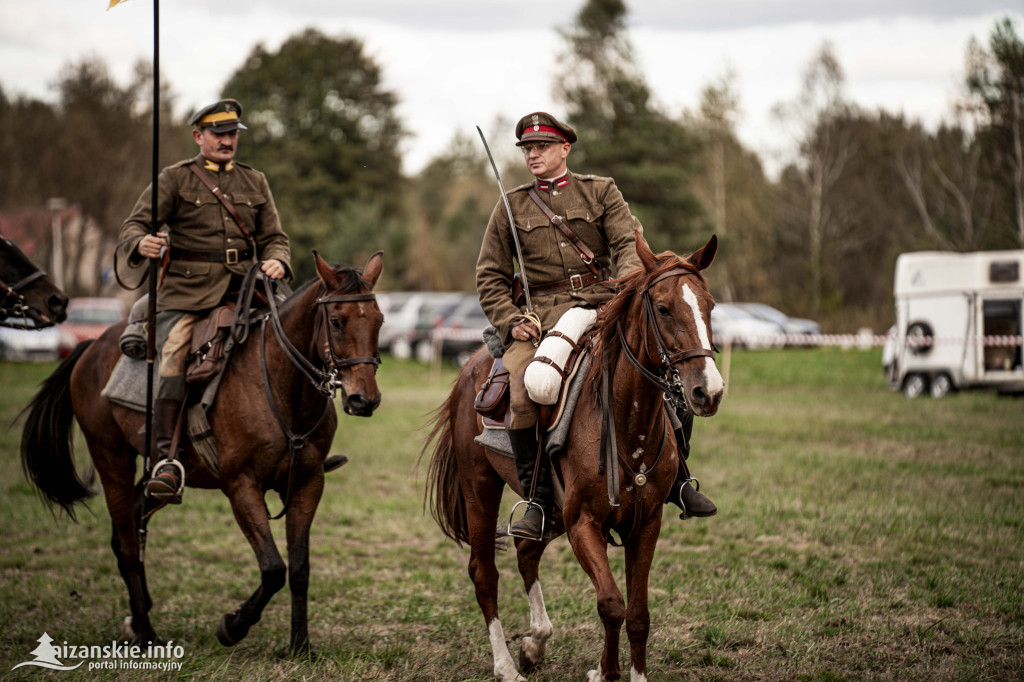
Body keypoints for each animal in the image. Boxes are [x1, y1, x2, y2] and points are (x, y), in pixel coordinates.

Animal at [20, 249, 387, 655]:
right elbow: (273, 568)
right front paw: (233, 626)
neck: (280, 385)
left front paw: (300, 646)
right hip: (111, 458)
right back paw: (147, 632)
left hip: (152, 480)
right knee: (129, 545)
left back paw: (138, 618)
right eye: (336, 321)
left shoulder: (308, 483)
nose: (364, 400)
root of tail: (92, 347)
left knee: (128, 530)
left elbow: (299, 568)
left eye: (379, 321)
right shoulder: (241, 486)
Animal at [421, 235, 720, 679]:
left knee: (526, 548)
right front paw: (606, 672)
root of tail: (471, 366)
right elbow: (611, 604)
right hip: (481, 489)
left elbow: (638, 613)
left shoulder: (646, 522)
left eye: (710, 306)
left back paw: (535, 644)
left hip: (550, 509)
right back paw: (505, 665)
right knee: (484, 572)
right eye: (664, 308)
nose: (708, 391)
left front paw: (633, 673)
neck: (623, 422)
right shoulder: (584, 523)